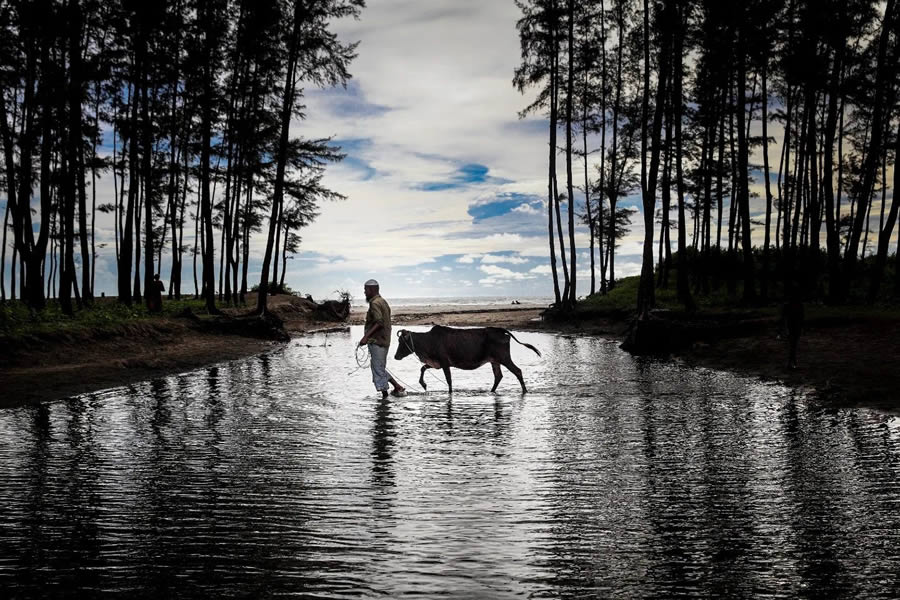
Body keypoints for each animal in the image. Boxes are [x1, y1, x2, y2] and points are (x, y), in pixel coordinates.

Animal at [394, 328, 540, 394]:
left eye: (401, 342)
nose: (395, 356)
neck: (427, 341)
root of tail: (501, 330)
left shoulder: (445, 363)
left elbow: (449, 380)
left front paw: (450, 393)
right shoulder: (436, 363)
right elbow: (422, 368)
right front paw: (423, 384)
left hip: (504, 358)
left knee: (517, 371)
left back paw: (525, 391)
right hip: (495, 361)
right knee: (498, 376)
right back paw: (491, 391)